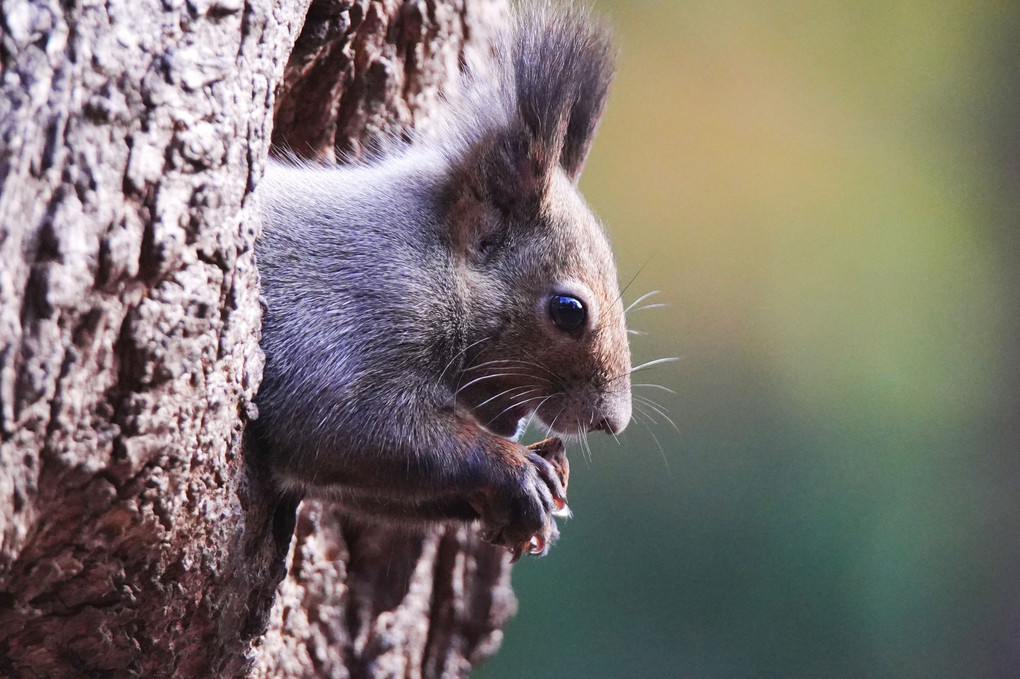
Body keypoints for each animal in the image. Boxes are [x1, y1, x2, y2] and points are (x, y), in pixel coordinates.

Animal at [249, 1, 628, 558]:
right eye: (568, 311)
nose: (613, 421)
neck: (432, 260)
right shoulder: (344, 312)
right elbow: (342, 423)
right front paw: (513, 468)